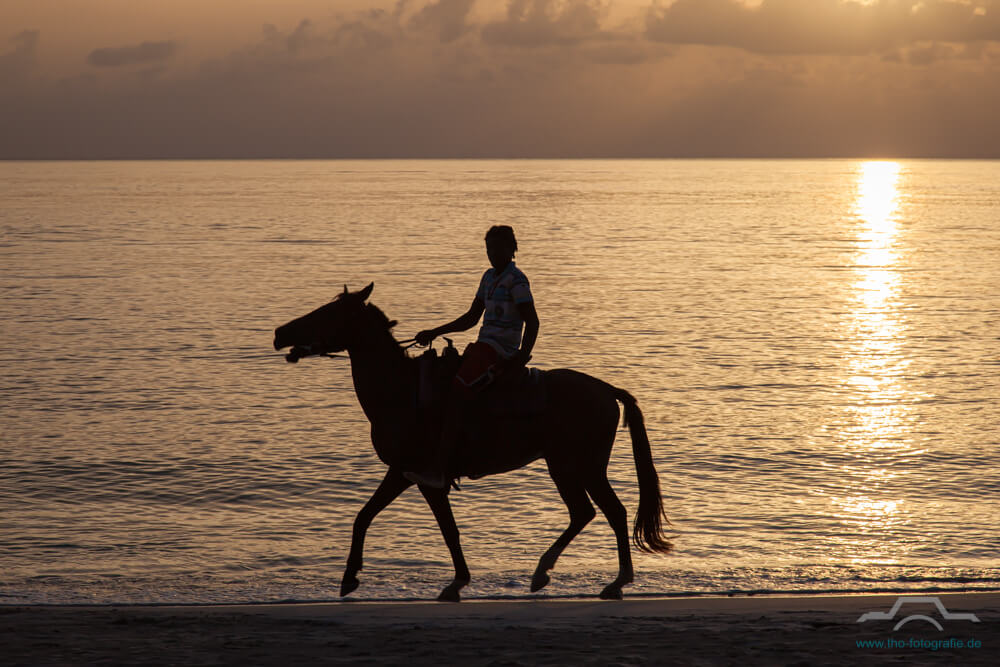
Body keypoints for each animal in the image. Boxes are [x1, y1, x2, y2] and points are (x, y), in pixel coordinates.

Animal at [274, 284, 672, 604]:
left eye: (327, 312)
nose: (280, 332)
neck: (400, 392)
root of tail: (606, 390)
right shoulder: (401, 473)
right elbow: (364, 516)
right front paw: (349, 578)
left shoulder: (422, 477)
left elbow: (446, 530)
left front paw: (456, 583)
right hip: (570, 466)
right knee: (588, 512)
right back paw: (556, 575)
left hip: (577, 465)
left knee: (607, 511)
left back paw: (609, 580)